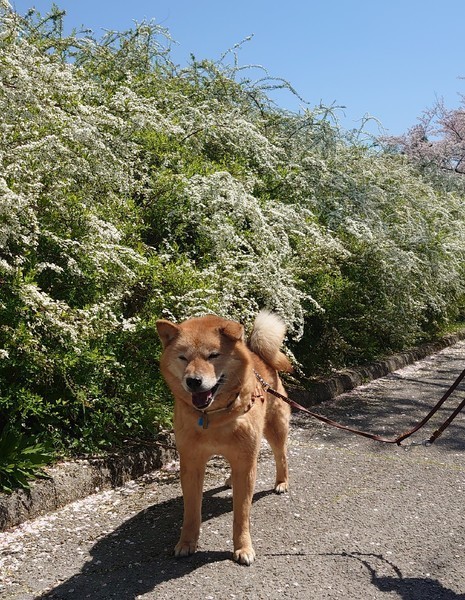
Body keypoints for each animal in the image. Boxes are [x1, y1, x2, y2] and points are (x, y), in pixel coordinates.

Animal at [158, 312, 292, 564]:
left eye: (213, 355)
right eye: (183, 357)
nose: (193, 381)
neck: (213, 417)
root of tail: (259, 355)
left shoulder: (245, 463)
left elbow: (241, 514)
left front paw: (243, 547)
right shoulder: (191, 463)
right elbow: (191, 512)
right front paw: (186, 542)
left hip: (274, 429)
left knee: (281, 456)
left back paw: (282, 482)